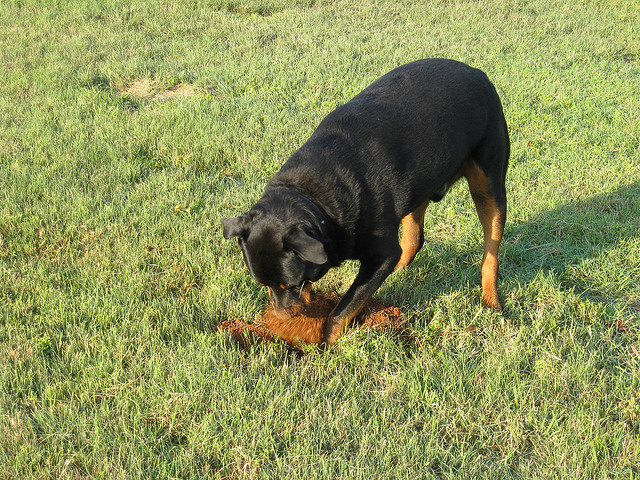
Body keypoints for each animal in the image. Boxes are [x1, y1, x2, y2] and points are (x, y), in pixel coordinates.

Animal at [221, 59, 510, 344]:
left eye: (293, 284)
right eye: (263, 285)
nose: (282, 318)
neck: (313, 196)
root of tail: (476, 72)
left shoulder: (383, 253)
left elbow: (345, 307)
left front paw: (326, 342)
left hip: (489, 183)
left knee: (491, 251)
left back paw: (491, 299)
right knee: (414, 237)